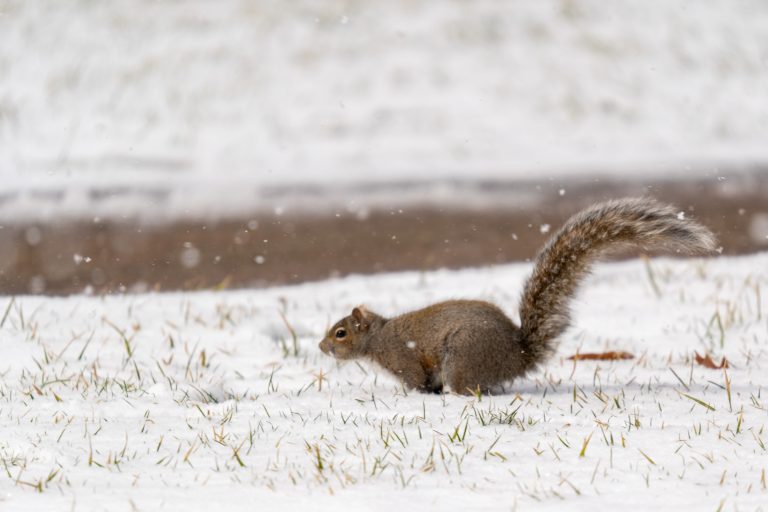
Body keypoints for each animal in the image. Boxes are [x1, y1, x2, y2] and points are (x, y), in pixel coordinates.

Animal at [316, 197, 712, 396]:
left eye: (341, 333)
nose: (321, 347)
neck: (378, 337)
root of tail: (518, 355)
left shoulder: (403, 359)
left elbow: (416, 381)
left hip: (461, 358)